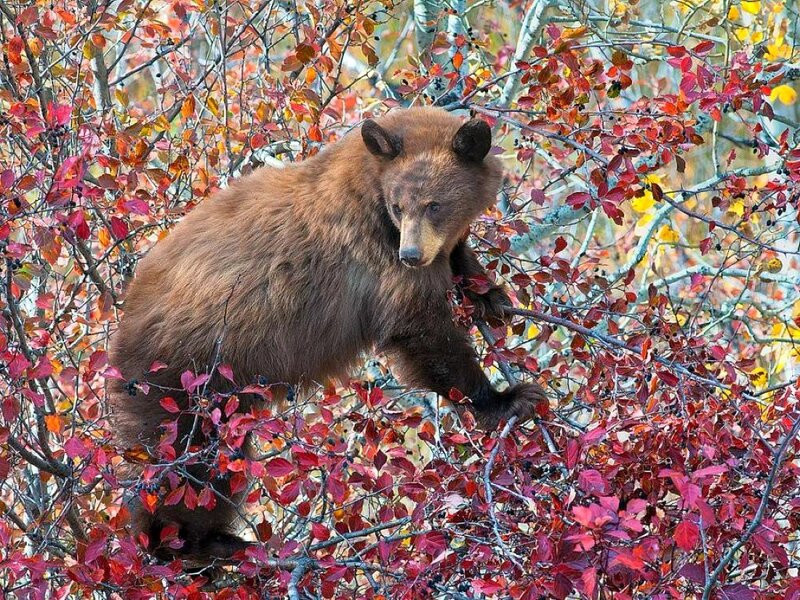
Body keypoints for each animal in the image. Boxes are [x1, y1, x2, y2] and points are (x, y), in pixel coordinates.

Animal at [107, 106, 547, 561]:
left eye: (435, 205)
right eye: (398, 206)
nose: (411, 255)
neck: (370, 180)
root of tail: (121, 332)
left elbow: (457, 260)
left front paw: (490, 295)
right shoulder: (376, 253)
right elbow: (421, 331)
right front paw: (506, 399)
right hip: (182, 376)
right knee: (188, 464)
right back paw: (182, 543)